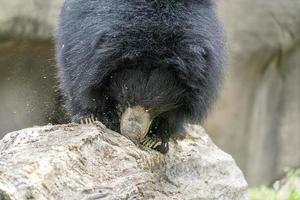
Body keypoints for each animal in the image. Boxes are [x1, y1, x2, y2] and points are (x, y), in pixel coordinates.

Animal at [56, 0, 225, 154]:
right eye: (124, 96)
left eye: (156, 105)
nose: (131, 135)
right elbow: (87, 85)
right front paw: (101, 119)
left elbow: (174, 115)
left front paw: (155, 140)